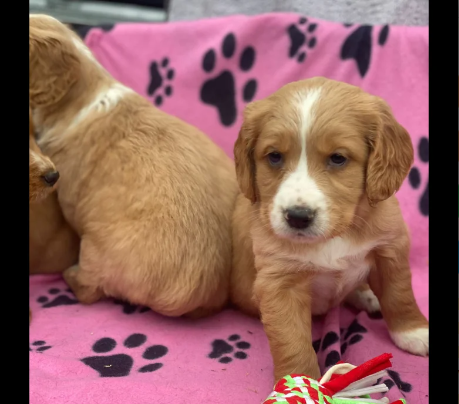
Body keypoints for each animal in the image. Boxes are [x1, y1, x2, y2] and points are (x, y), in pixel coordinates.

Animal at [232, 78, 430, 382]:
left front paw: (414, 331)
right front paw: (297, 383)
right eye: (274, 156)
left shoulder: (390, 249)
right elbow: (291, 341)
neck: (337, 234)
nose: (297, 217)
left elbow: (400, 294)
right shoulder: (279, 282)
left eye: (338, 158)